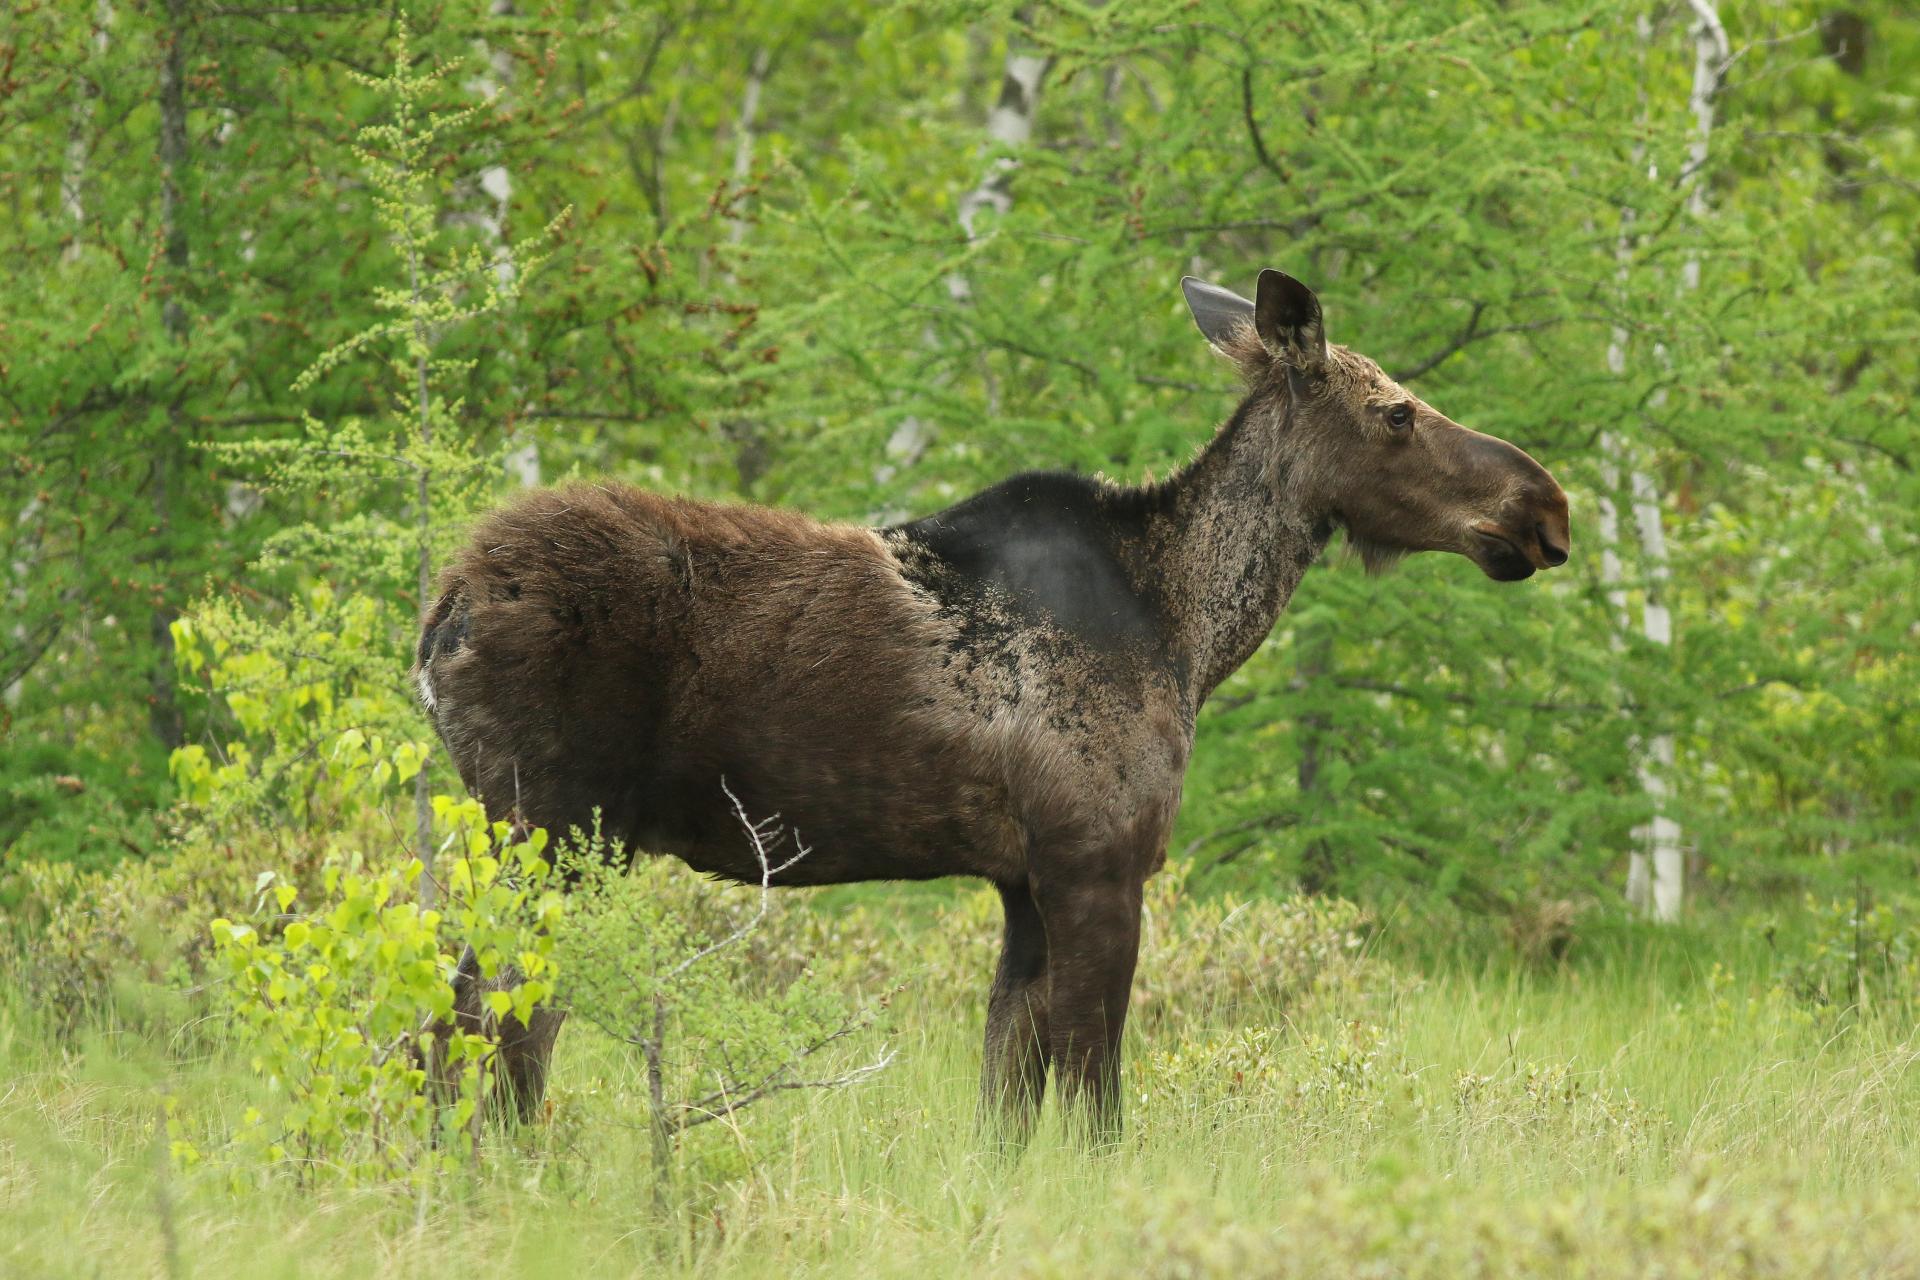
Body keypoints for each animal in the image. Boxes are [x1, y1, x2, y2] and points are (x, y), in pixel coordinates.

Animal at [415, 269, 1571, 1141]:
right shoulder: (1097, 857)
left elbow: (1007, 1098)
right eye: (1396, 411)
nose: (1547, 507)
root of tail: (441, 614)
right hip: (551, 825)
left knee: (450, 1005)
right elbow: (1096, 1097)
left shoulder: (1022, 878)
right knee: (503, 1013)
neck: (1192, 630)